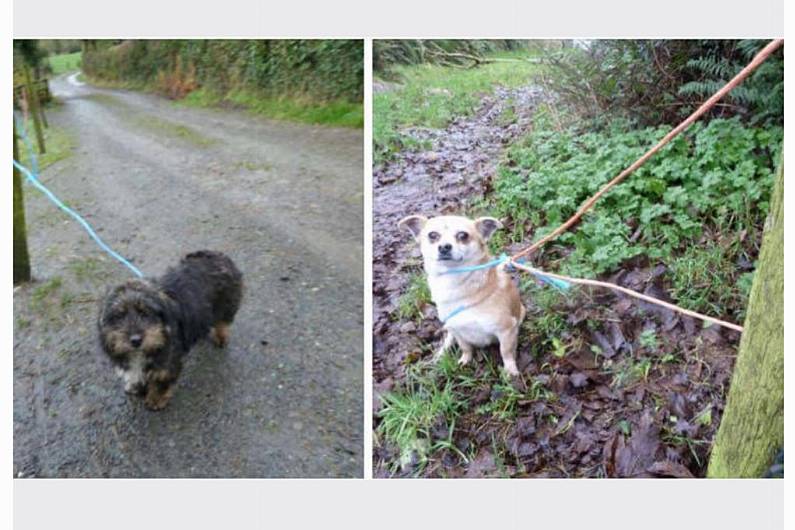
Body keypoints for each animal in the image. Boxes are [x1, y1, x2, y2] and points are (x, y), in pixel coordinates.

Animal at [96, 249, 241, 408]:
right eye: (119, 316)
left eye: (145, 313)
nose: (135, 340)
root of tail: (215, 254)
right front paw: (136, 386)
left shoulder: (167, 361)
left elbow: (161, 379)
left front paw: (156, 398)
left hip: (227, 304)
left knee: (223, 322)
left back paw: (221, 337)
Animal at [398, 213, 528, 372]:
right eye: (432, 235)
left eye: (463, 235)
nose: (444, 246)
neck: (455, 282)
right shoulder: (457, 329)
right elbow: (465, 346)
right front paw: (465, 360)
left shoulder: (507, 329)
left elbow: (506, 351)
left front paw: (510, 371)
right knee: (449, 338)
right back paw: (440, 353)